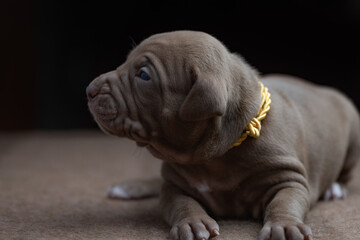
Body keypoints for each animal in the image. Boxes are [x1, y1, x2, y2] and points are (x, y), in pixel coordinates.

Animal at [86, 31, 358, 240]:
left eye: (143, 75)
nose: (89, 89)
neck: (214, 156)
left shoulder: (289, 177)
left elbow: (285, 201)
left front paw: (284, 225)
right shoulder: (174, 184)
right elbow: (180, 203)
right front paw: (192, 223)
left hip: (352, 131)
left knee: (345, 172)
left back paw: (334, 188)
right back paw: (128, 187)